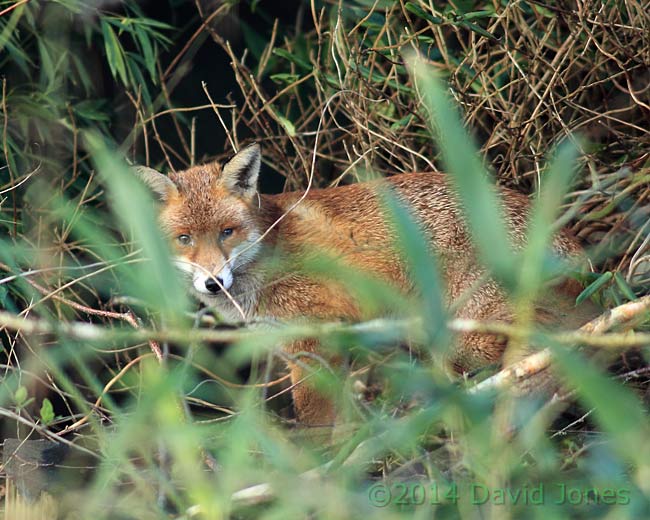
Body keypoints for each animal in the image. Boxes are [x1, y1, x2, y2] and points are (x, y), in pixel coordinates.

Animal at [137, 143, 597, 426]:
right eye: (184, 239)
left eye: (227, 233)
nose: (213, 283)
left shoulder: (314, 339)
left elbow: (315, 419)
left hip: (466, 336)